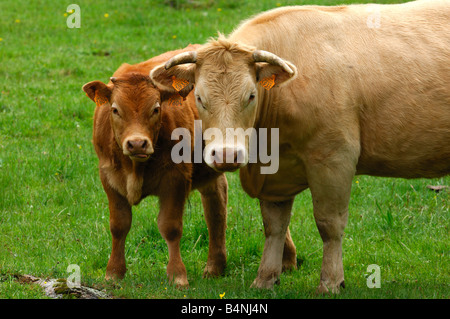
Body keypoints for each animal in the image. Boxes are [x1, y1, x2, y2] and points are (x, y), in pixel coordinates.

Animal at [82, 45, 227, 290]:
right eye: (115, 109)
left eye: (156, 109)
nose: (137, 143)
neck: (135, 168)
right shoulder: (109, 178)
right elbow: (119, 225)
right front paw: (113, 273)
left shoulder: (176, 180)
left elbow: (170, 227)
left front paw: (177, 275)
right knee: (215, 205)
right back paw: (216, 267)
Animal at [152, 0, 450, 294]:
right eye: (199, 98)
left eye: (251, 95)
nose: (227, 154)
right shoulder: (274, 171)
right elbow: (274, 226)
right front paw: (266, 278)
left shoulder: (334, 158)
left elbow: (330, 224)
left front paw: (330, 281)